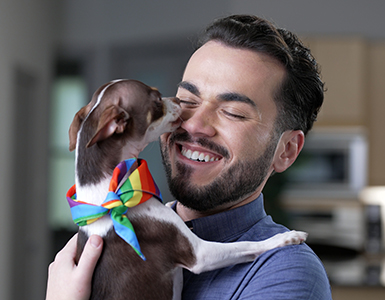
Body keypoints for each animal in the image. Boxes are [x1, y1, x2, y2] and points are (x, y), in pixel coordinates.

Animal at [66, 79, 306, 300]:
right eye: (157, 99)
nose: (179, 100)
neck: (112, 191)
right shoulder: (200, 254)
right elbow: (247, 245)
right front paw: (285, 238)